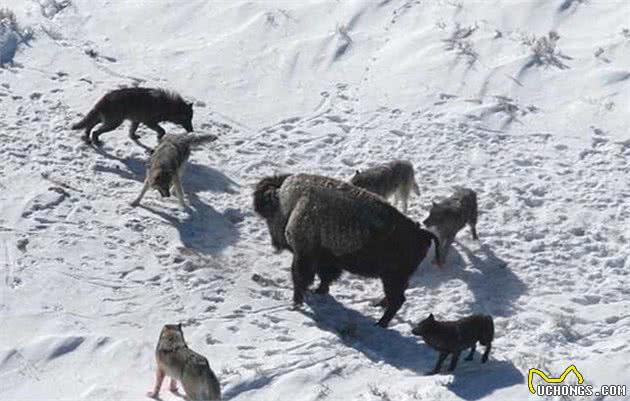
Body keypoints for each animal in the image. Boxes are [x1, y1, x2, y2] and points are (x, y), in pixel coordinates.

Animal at [252, 173, 440, 326]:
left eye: (268, 215)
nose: (275, 243)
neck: (291, 203)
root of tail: (421, 233)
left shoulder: (304, 256)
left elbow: (300, 278)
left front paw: (296, 303)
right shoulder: (327, 260)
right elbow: (325, 278)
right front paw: (319, 291)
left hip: (392, 278)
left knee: (397, 300)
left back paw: (380, 324)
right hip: (395, 278)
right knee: (395, 297)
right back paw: (377, 306)